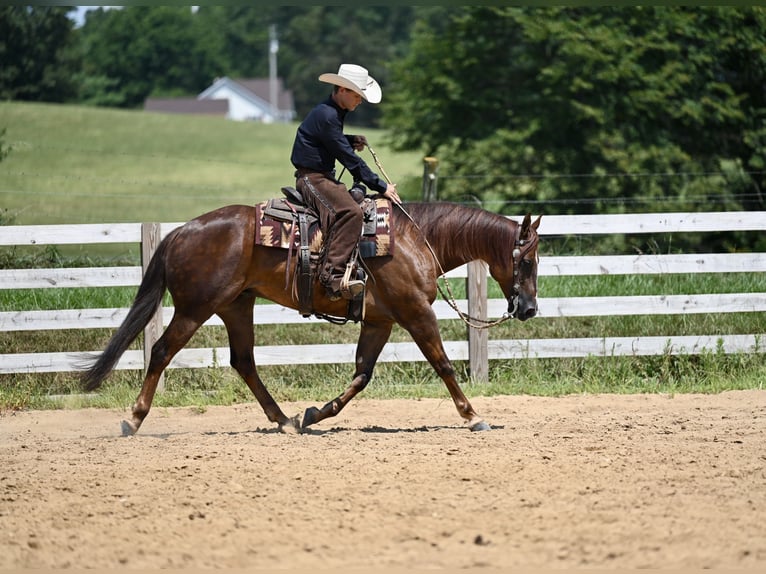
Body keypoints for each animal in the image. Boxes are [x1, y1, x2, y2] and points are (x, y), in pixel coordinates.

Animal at [81, 200, 541, 435]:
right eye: (528, 260)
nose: (530, 309)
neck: (416, 238)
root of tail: (180, 231)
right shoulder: (415, 313)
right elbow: (443, 364)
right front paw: (474, 415)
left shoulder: (380, 321)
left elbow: (361, 375)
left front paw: (315, 414)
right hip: (195, 308)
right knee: (161, 351)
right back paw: (133, 418)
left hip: (236, 305)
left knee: (243, 361)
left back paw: (285, 420)